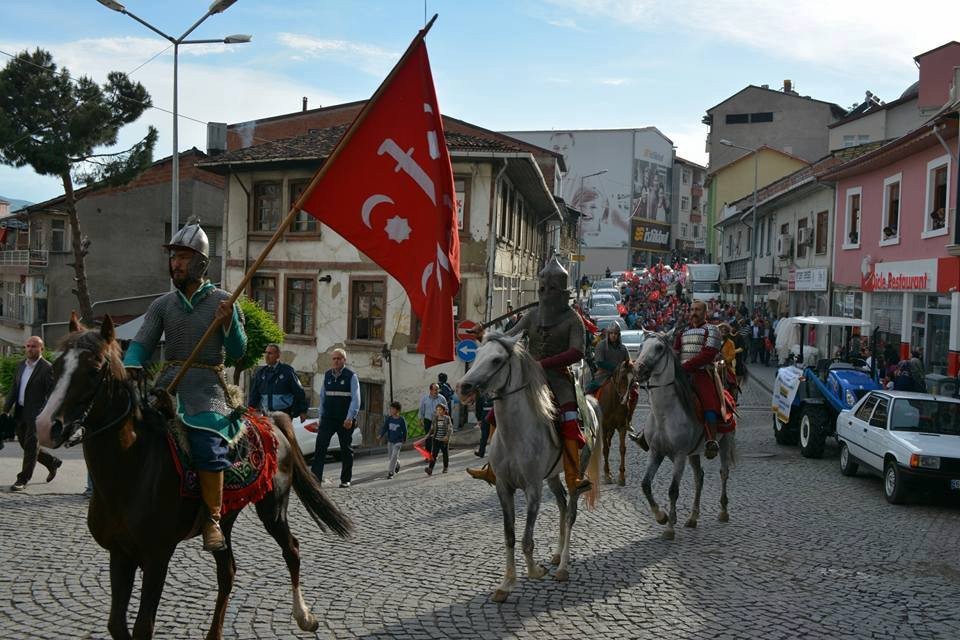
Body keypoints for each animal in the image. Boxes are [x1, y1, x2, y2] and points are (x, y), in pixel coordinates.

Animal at [36, 316, 356, 640]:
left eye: (94, 369)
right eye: (56, 368)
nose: (46, 426)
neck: (131, 470)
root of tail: (270, 420)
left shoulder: (157, 556)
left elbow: (142, 627)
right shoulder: (120, 553)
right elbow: (116, 624)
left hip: (273, 508)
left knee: (292, 550)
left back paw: (304, 616)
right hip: (224, 517)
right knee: (227, 571)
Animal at [456, 332, 600, 604]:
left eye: (496, 360)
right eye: (477, 354)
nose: (464, 387)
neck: (516, 434)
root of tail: (589, 404)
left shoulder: (533, 489)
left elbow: (526, 539)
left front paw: (535, 571)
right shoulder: (504, 488)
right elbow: (510, 536)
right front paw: (505, 584)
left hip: (577, 470)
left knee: (571, 511)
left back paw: (563, 567)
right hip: (552, 477)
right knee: (562, 505)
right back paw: (557, 554)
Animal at [632, 330, 740, 540]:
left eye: (659, 347)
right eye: (641, 346)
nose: (638, 370)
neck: (664, 414)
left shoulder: (680, 455)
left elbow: (673, 490)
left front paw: (669, 528)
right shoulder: (656, 452)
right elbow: (645, 485)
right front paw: (662, 516)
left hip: (724, 442)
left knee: (724, 473)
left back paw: (723, 511)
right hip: (694, 453)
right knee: (699, 477)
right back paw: (692, 517)